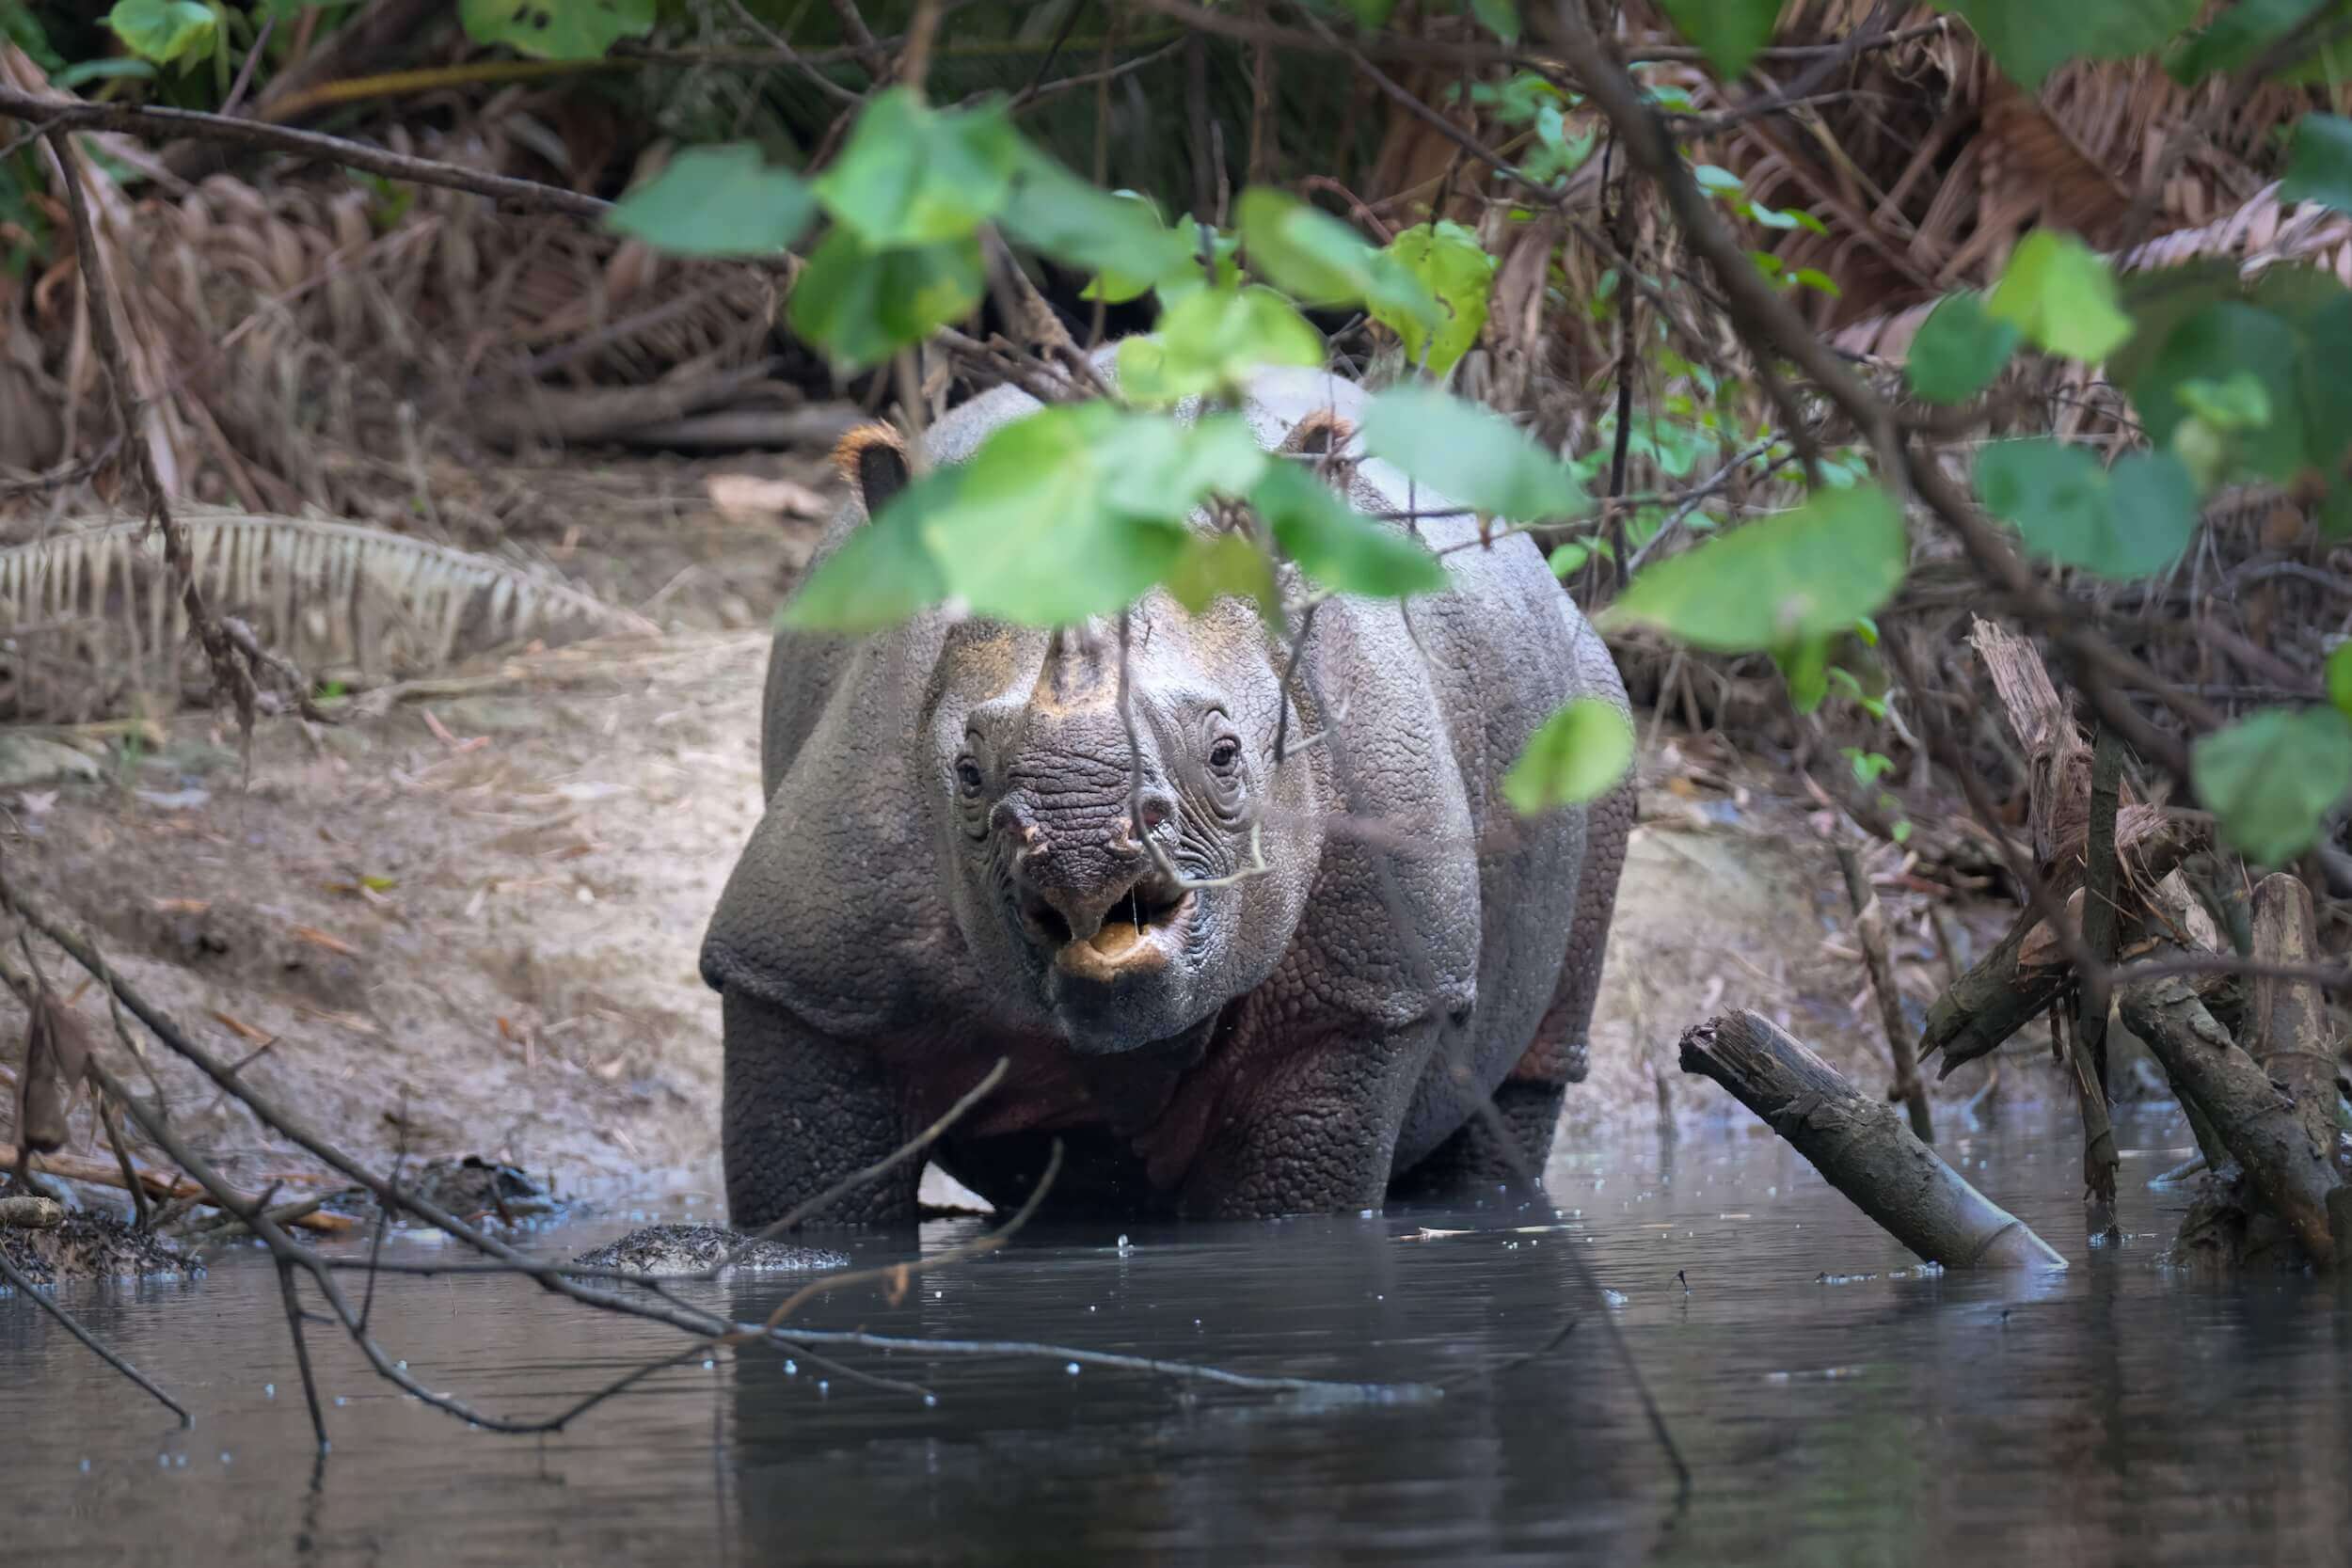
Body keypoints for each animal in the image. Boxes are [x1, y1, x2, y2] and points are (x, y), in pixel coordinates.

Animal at [701, 350, 1632, 1226]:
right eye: (966, 773)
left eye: (1224, 756)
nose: (1082, 846)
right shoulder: (800, 975)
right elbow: (810, 1201)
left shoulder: (1373, 993)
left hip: (1590, 701)